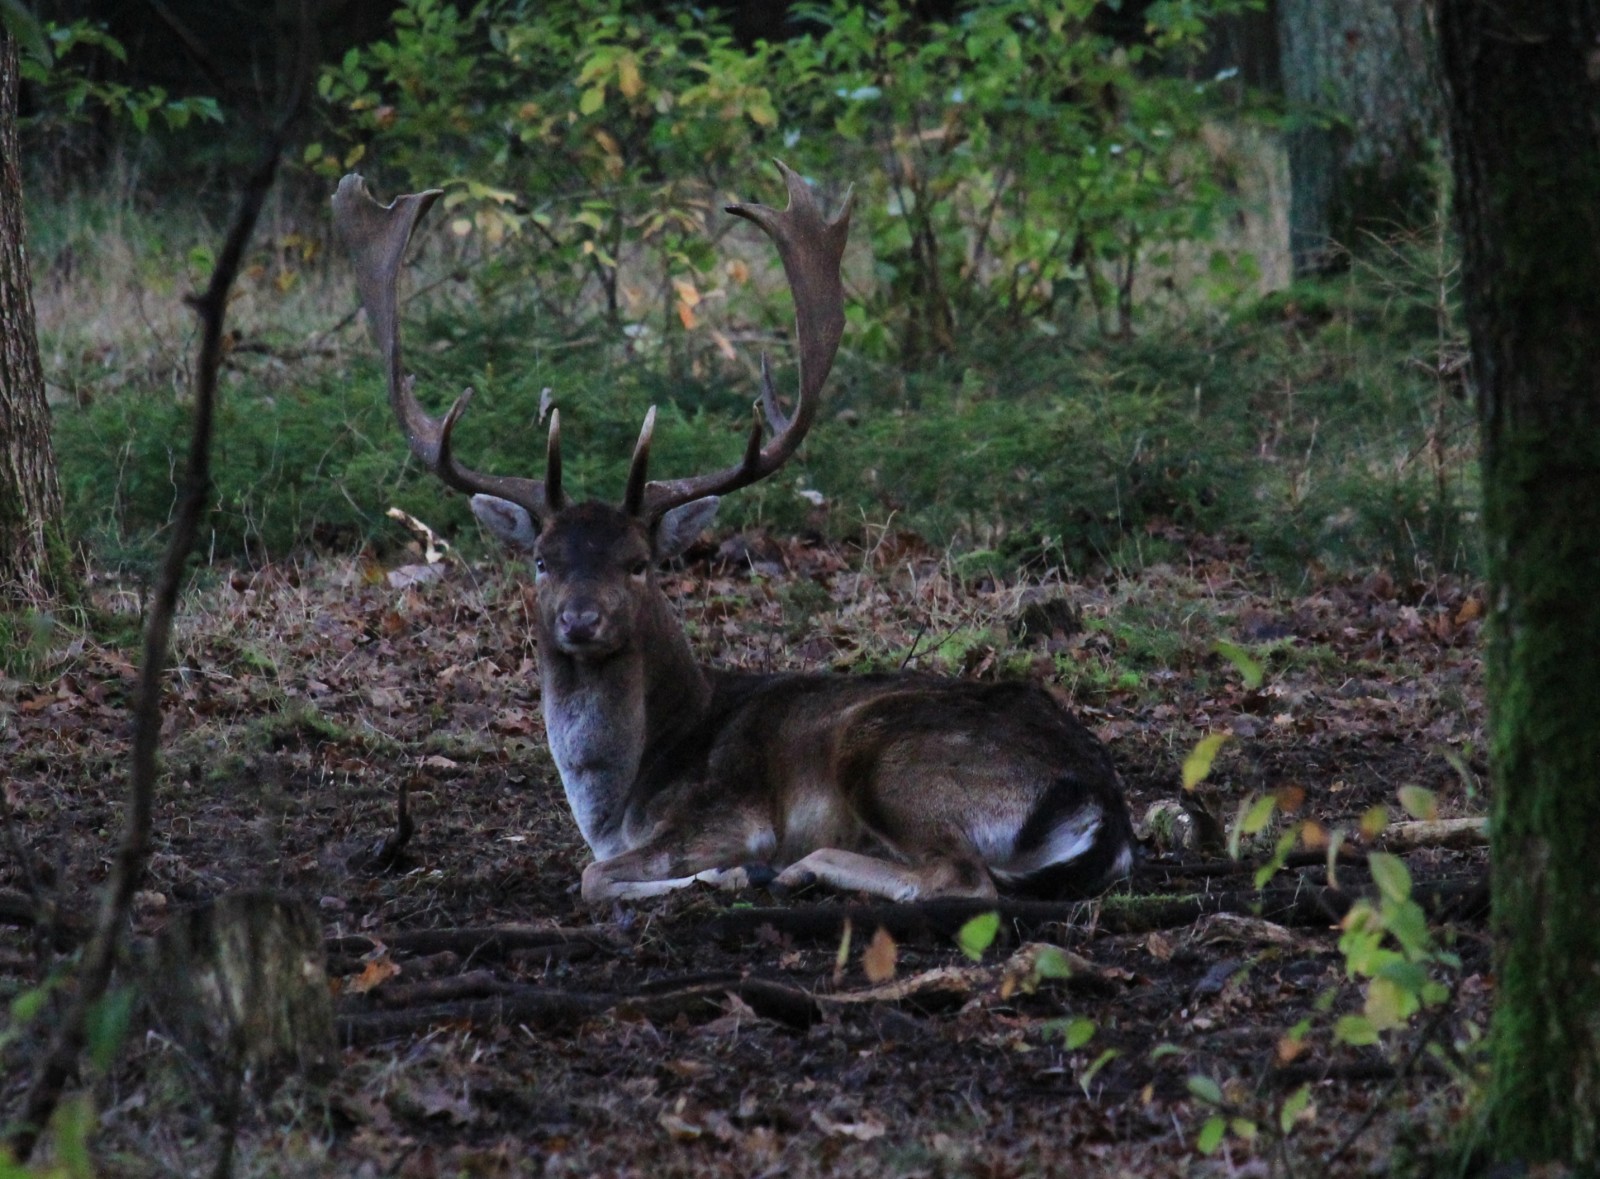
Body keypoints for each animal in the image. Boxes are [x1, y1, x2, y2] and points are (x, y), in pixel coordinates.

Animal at [332, 162, 1135, 904]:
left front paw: (732, 871)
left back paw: (794, 869)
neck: (621, 798)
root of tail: (1103, 805)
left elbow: (594, 875)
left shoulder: (727, 810)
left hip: (895, 755)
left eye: (639, 562)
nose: (581, 620)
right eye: (540, 560)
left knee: (963, 877)